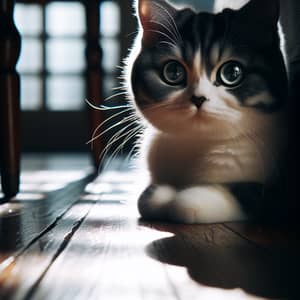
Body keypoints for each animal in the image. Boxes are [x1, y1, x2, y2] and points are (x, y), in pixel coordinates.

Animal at [125, 0, 288, 224]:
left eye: (232, 73)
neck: (199, 141)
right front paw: (159, 194)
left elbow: (247, 193)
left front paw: (183, 199)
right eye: (173, 72)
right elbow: (143, 198)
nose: (198, 98)